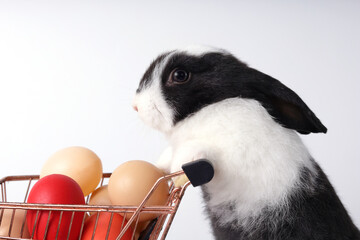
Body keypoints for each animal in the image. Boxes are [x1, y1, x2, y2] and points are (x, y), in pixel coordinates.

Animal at [132, 46, 360, 239]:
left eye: (179, 75)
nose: (135, 106)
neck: (210, 106)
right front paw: (162, 164)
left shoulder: (234, 150)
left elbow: (197, 151)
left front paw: (179, 169)